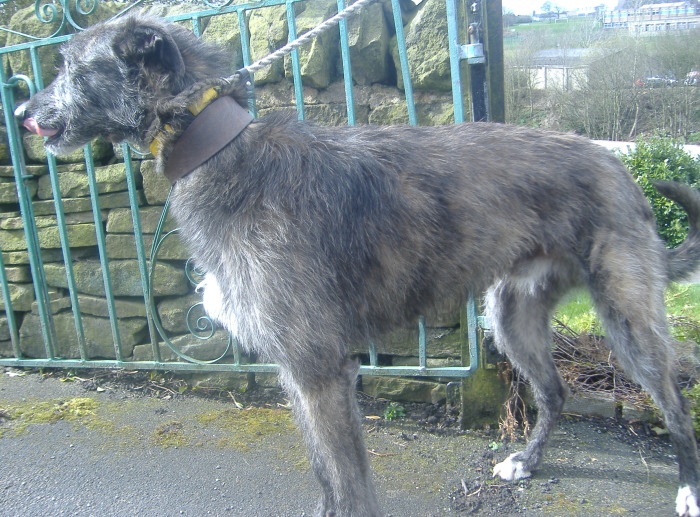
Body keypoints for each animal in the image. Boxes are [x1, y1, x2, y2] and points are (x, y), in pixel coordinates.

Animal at [15, 15, 700, 516]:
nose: (21, 114)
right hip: (512, 312)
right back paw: (526, 461)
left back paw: (687, 487)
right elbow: (326, 474)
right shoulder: (298, 372)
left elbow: (351, 482)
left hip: (628, 316)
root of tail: (616, 162)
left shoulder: (321, 371)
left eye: (73, 67)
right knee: (554, 392)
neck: (224, 149)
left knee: (673, 400)